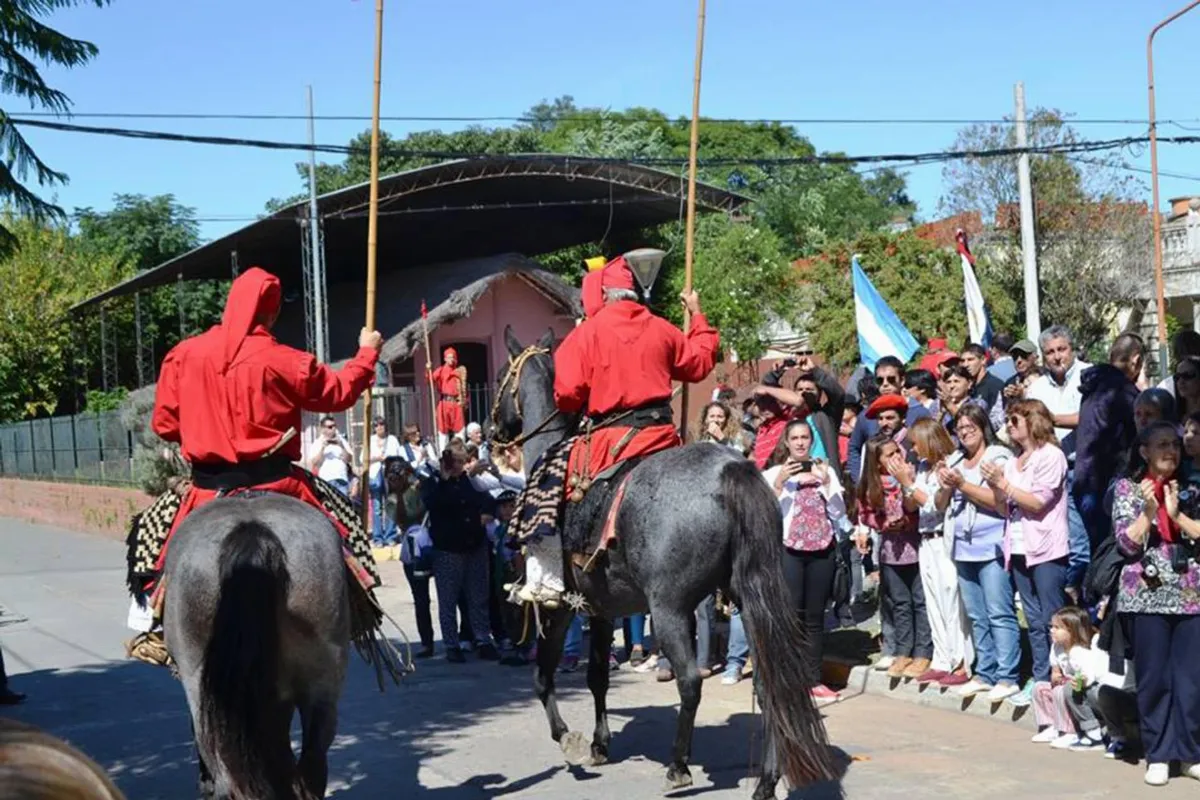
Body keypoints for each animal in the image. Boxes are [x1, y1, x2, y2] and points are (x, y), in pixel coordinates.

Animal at [492, 326, 840, 800]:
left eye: (500, 378)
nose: (494, 429)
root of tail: (732, 471)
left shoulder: (560, 606)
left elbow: (543, 675)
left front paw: (570, 739)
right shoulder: (602, 609)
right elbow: (597, 675)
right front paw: (600, 743)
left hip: (670, 608)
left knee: (690, 680)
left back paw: (678, 767)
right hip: (752, 600)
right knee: (770, 683)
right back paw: (766, 781)